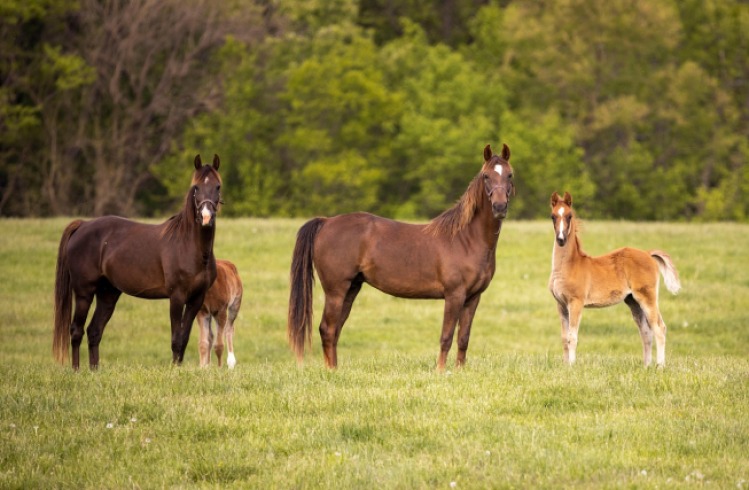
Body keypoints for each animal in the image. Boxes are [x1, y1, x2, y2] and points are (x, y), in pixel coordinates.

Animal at [53, 155, 222, 370]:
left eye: (217, 186)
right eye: (196, 187)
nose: (206, 217)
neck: (188, 246)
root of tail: (83, 225)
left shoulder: (196, 299)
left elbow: (183, 339)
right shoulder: (176, 297)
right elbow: (176, 338)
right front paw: (174, 370)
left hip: (108, 294)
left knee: (94, 331)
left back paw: (94, 371)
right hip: (84, 292)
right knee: (76, 330)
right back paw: (76, 371)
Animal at [286, 144, 516, 370]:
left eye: (510, 175)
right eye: (486, 176)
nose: (499, 207)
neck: (465, 238)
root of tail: (326, 222)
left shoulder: (473, 297)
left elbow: (463, 338)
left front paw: (460, 370)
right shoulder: (454, 295)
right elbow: (447, 336)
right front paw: (441, 371)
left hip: (351, 288)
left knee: (335, 330)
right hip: (336, 290)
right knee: (328, 328)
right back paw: (332, 372)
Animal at [548, 191, 680, 368]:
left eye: (569, 216)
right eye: (553, 216)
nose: (561, 239)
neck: (569, 266)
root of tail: (647, 253)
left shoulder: (576, 302)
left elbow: (572, 337)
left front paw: (572, 366)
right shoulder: (561, 305)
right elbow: (564, 338)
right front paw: (565, 366)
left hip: (647, 297)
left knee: (659, 328)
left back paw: (659, 367)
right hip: (633, 301)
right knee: (646, 332)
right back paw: (646, 366)